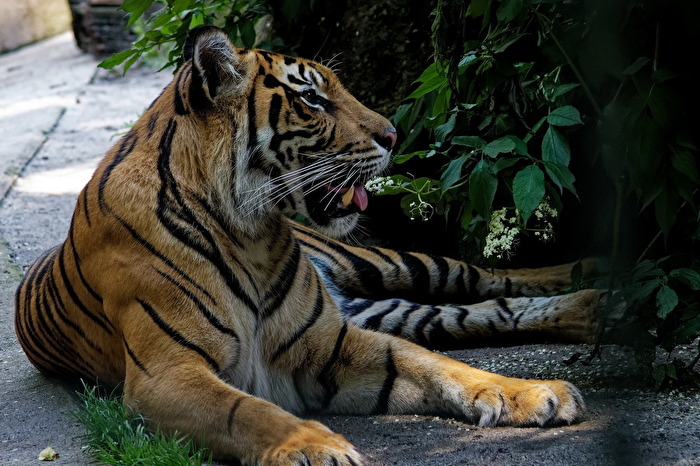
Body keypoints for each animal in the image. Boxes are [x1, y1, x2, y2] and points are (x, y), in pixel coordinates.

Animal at [14, 26, 602, 465]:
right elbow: (246, 411)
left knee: (489, 281)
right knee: (478, 313)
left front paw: (528, 392)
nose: (394, 136)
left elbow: (435, 365)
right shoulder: (166, 373)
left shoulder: (331, 339)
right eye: (312, 98)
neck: (249, 233)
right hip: (382, 303)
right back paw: (595, 307)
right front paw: (315, 446)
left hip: (391, 264)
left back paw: (591, 285)